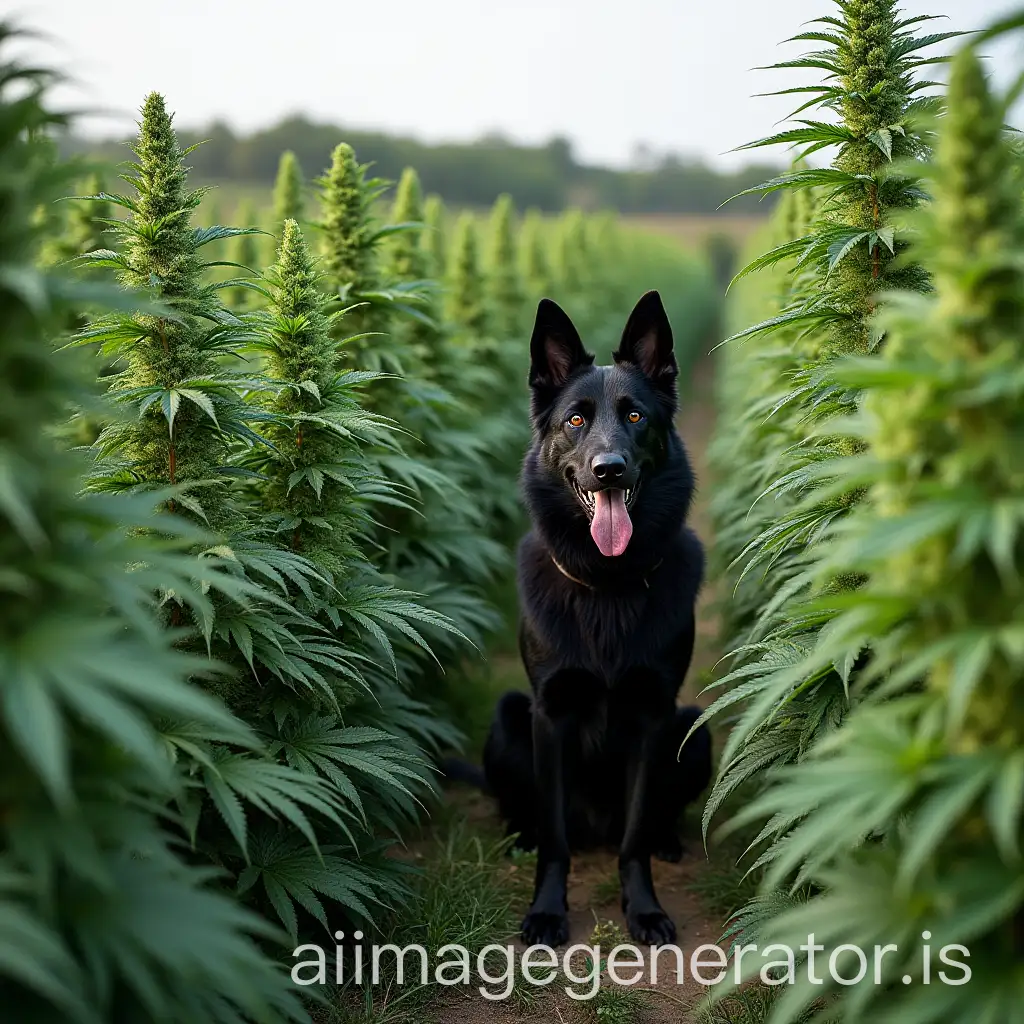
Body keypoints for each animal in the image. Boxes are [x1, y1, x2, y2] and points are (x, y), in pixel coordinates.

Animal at [481, 288, 712, 942]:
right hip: (507, 719)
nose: (609, 467)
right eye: (576, 420)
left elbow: (633, 838)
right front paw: (546, 911)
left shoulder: (655, 714)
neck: (608, 584)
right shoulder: (549, 713)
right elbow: (555, 839)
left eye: (635, 417)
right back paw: (520, 837)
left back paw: (668, 842)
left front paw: (645, 908)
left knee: (645, 822)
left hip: (696, 727)